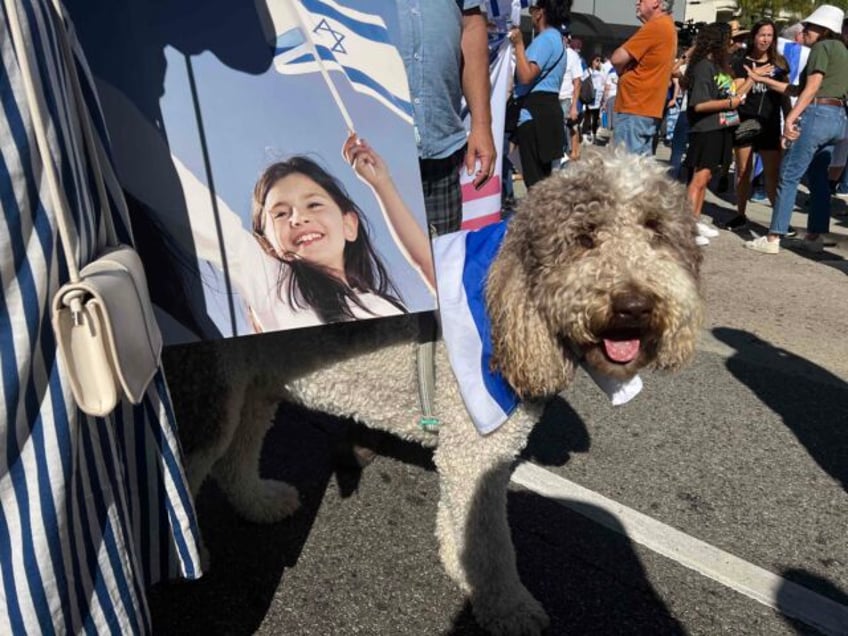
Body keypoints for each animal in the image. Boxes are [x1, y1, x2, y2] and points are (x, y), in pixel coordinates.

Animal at [166, 147, 704, 632]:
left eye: (656, 230)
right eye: (585, 236)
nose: (634, 305)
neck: (503, 303)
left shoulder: (475, 455)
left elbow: (465, 526)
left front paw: (460, 567)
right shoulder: (477, 448)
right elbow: (491, 543)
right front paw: (507, 607)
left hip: (252, 387)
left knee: (235, 458)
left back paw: (259, 502)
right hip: (205, 394)